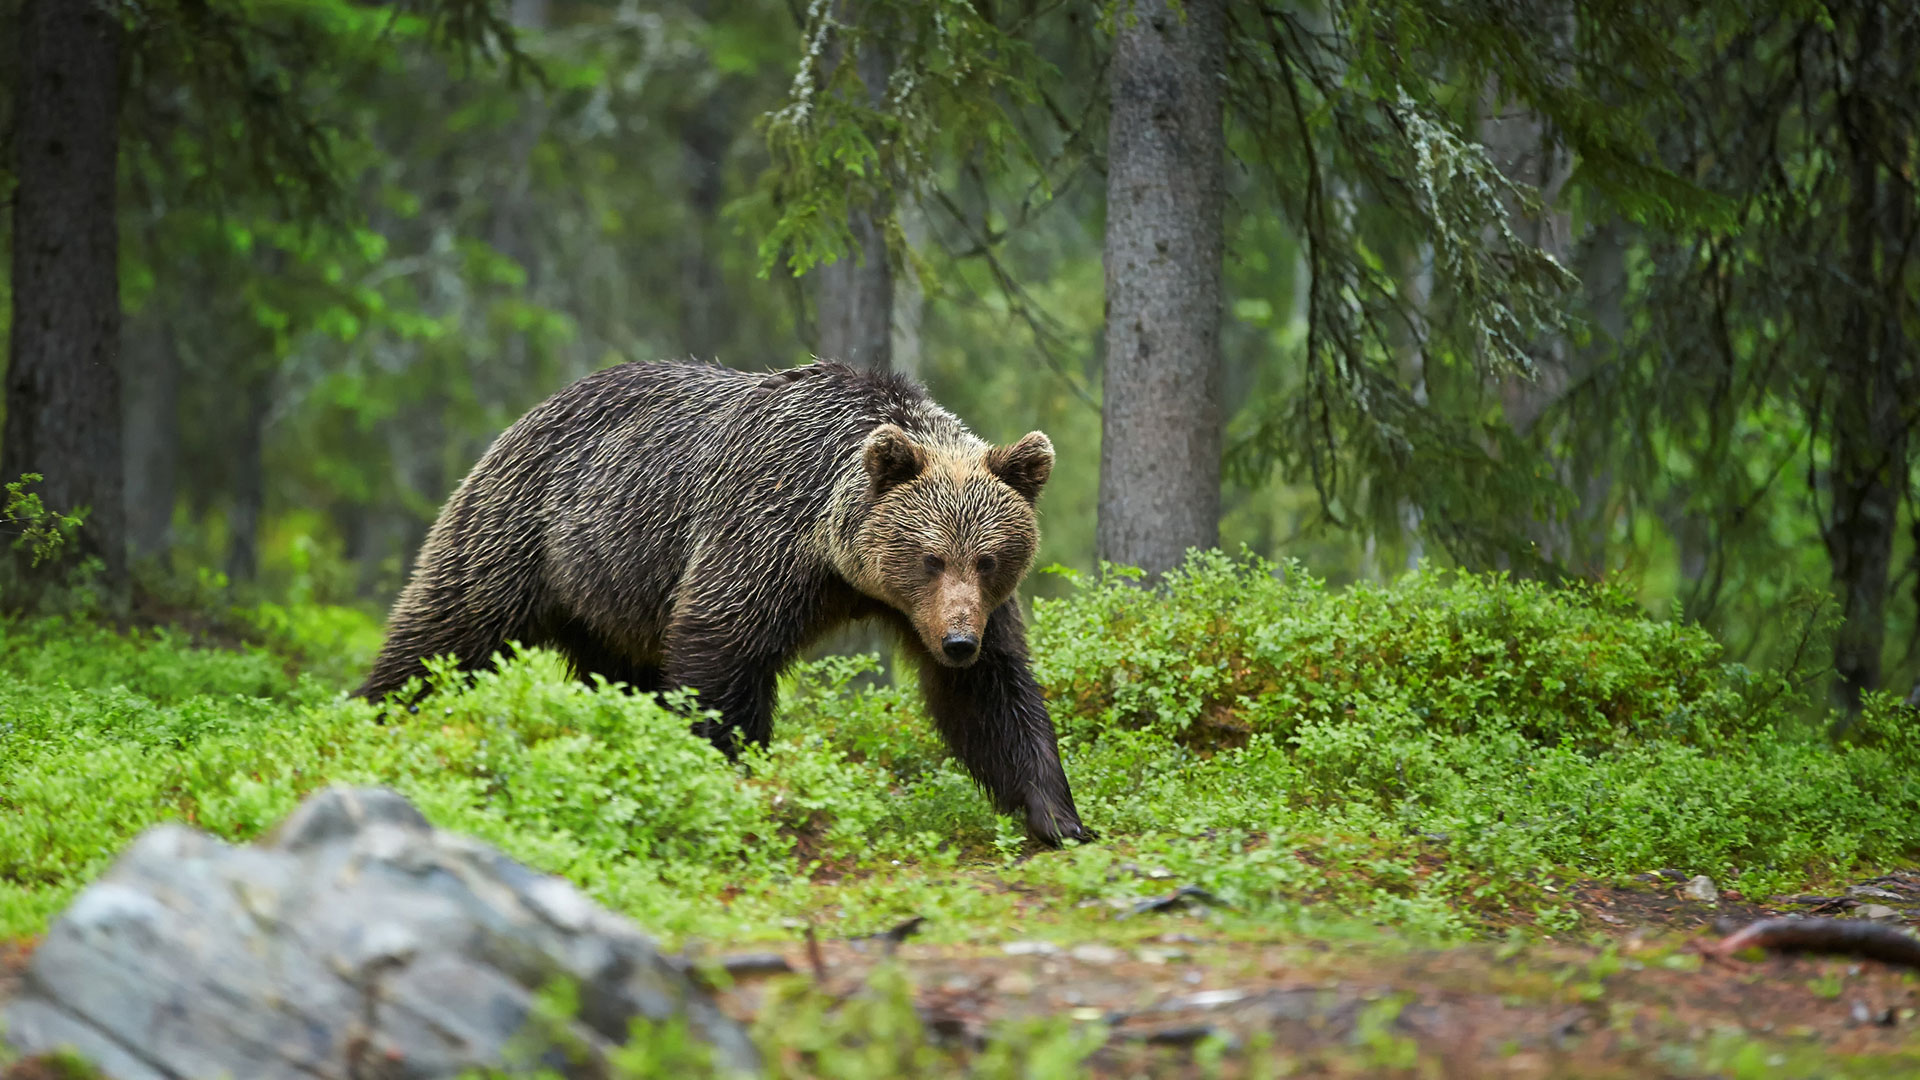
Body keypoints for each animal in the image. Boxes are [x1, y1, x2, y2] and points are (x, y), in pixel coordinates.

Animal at [357, 359, 1092, 846]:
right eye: (931, 556)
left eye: (988, 558)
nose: (957, 642)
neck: (838, 559)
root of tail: (534, 411)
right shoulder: (761, 531)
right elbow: (722, 657)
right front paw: (729, 773)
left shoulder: (955, 609)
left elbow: (992, 697)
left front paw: (1059, 816)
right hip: (527, 534)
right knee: (444, 634)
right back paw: (373, 716)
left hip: (611, 599)